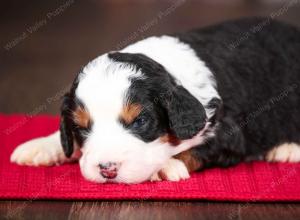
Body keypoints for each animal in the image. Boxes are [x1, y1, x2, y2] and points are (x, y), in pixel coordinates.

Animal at [10, 17, 300, 184]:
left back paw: (287, 149)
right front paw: (42, 145)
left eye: (140, 122)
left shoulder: (230, 132)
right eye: (80, 128)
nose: (107, 169)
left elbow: (194, 148)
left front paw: (164, 165)